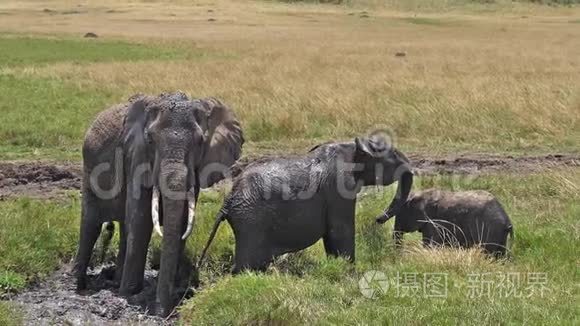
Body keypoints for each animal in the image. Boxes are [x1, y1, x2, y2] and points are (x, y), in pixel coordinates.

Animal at [73, 91, 245, 316]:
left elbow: (181, 220)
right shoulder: (135, 156)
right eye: (150, 140)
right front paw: (129, 295)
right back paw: (79, 284)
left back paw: (115, 281)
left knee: (122, 226)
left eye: (200, 142)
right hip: (90, 167)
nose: (161, 312)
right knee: (92, 224)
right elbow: (141, 220)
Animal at [199, 133, 412, 272]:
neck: (350, 147)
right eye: (393, 155)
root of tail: (228, 201)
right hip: (251, 221)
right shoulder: (338, 187)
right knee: (247, 264)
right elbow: (340, 231)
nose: (379, 218)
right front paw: (350, 273)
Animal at [378, 188, 516, 258]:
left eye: (399, 213)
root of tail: (507, 221)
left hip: (491, 230)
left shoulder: (433, 223)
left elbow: (429, 245)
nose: (377, 220)